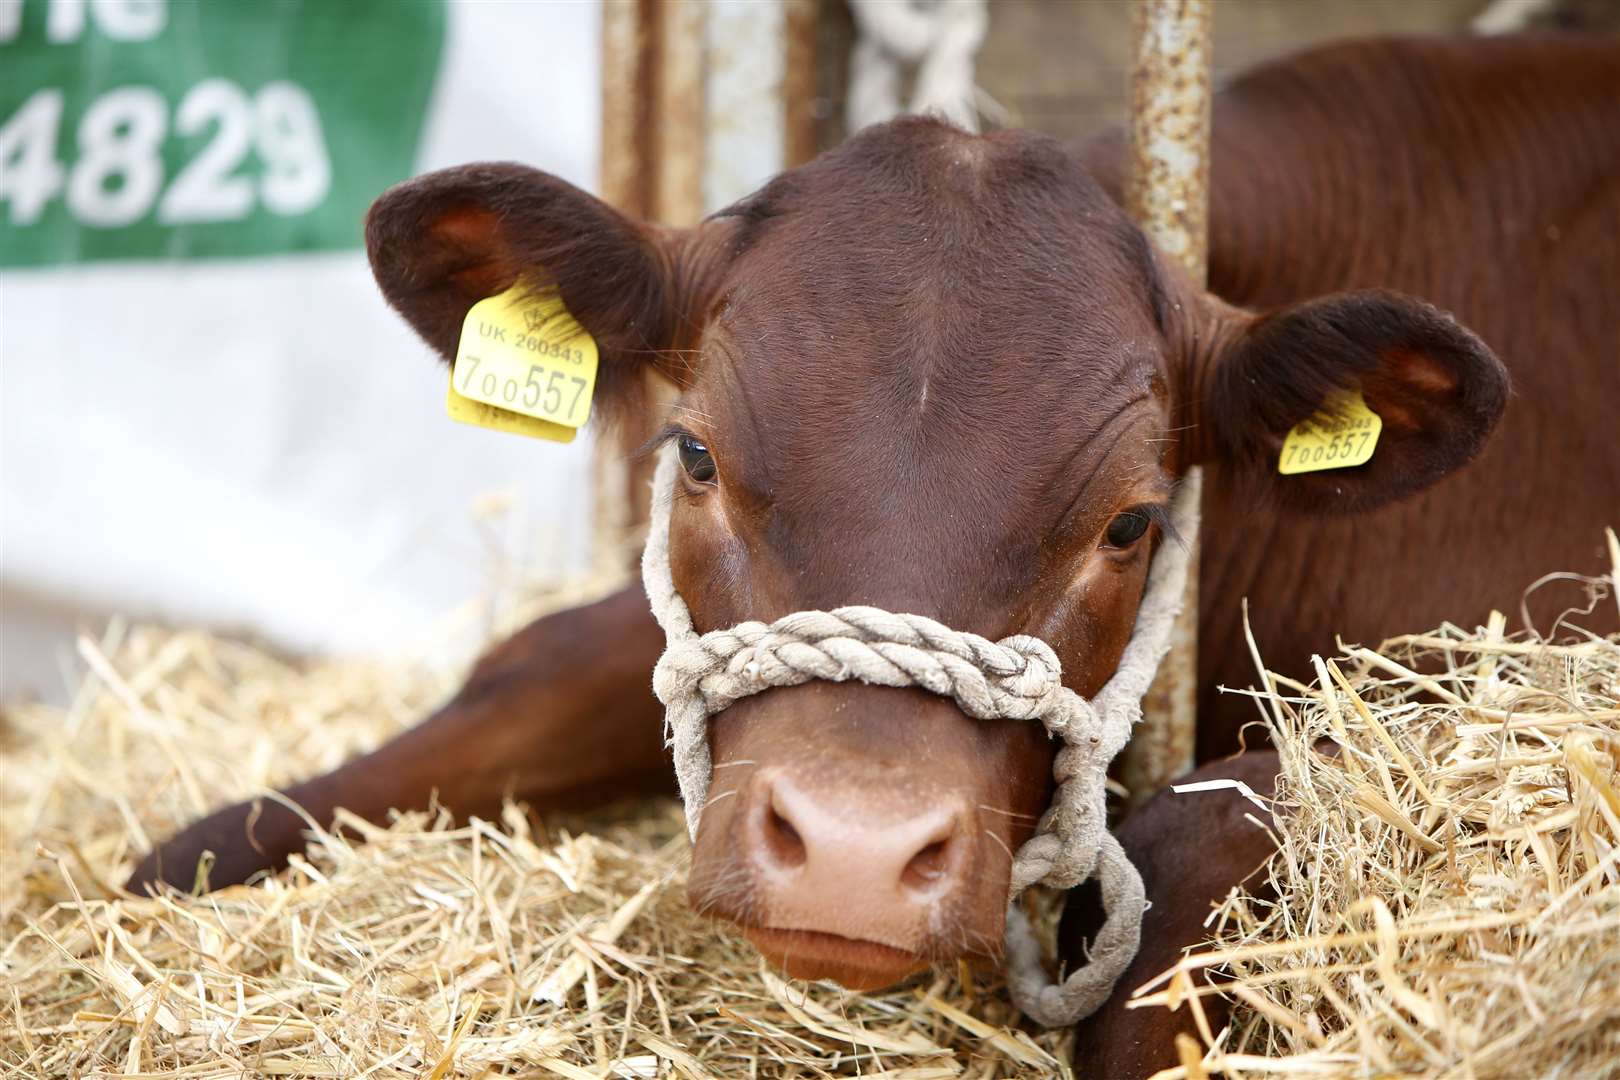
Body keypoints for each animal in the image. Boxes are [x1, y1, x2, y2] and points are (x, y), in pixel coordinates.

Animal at [129, 38, 1620, 1075]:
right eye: (695, 455)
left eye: (1132, 523)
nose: (851, 851)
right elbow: (532, 664)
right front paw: (177, 874)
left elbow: (1198, 818)